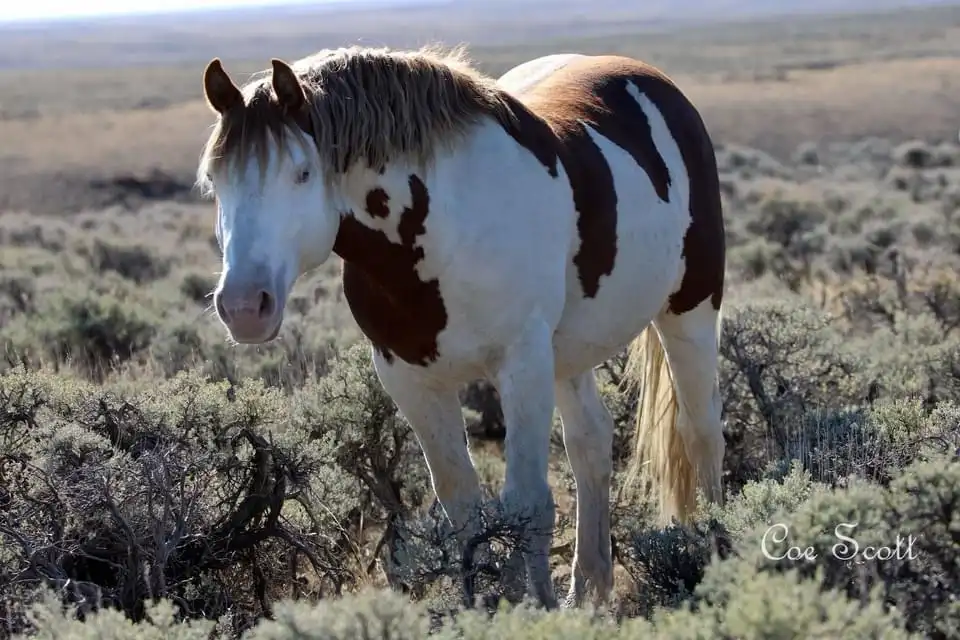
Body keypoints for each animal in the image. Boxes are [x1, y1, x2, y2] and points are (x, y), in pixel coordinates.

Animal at [197, 44, 726, 610]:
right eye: (215, 183)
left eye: (301, 173)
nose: (244, 306)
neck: (436, 234)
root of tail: (649, 78)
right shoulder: (410, 379)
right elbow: (463, 507)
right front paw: (490, 606)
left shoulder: (521, 364)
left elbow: (527, 503)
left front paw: (536, 607)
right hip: (568, 355)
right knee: (591, 443)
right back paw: (589, 587)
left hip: (689, 312)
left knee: (701, 434)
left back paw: (716, 554)